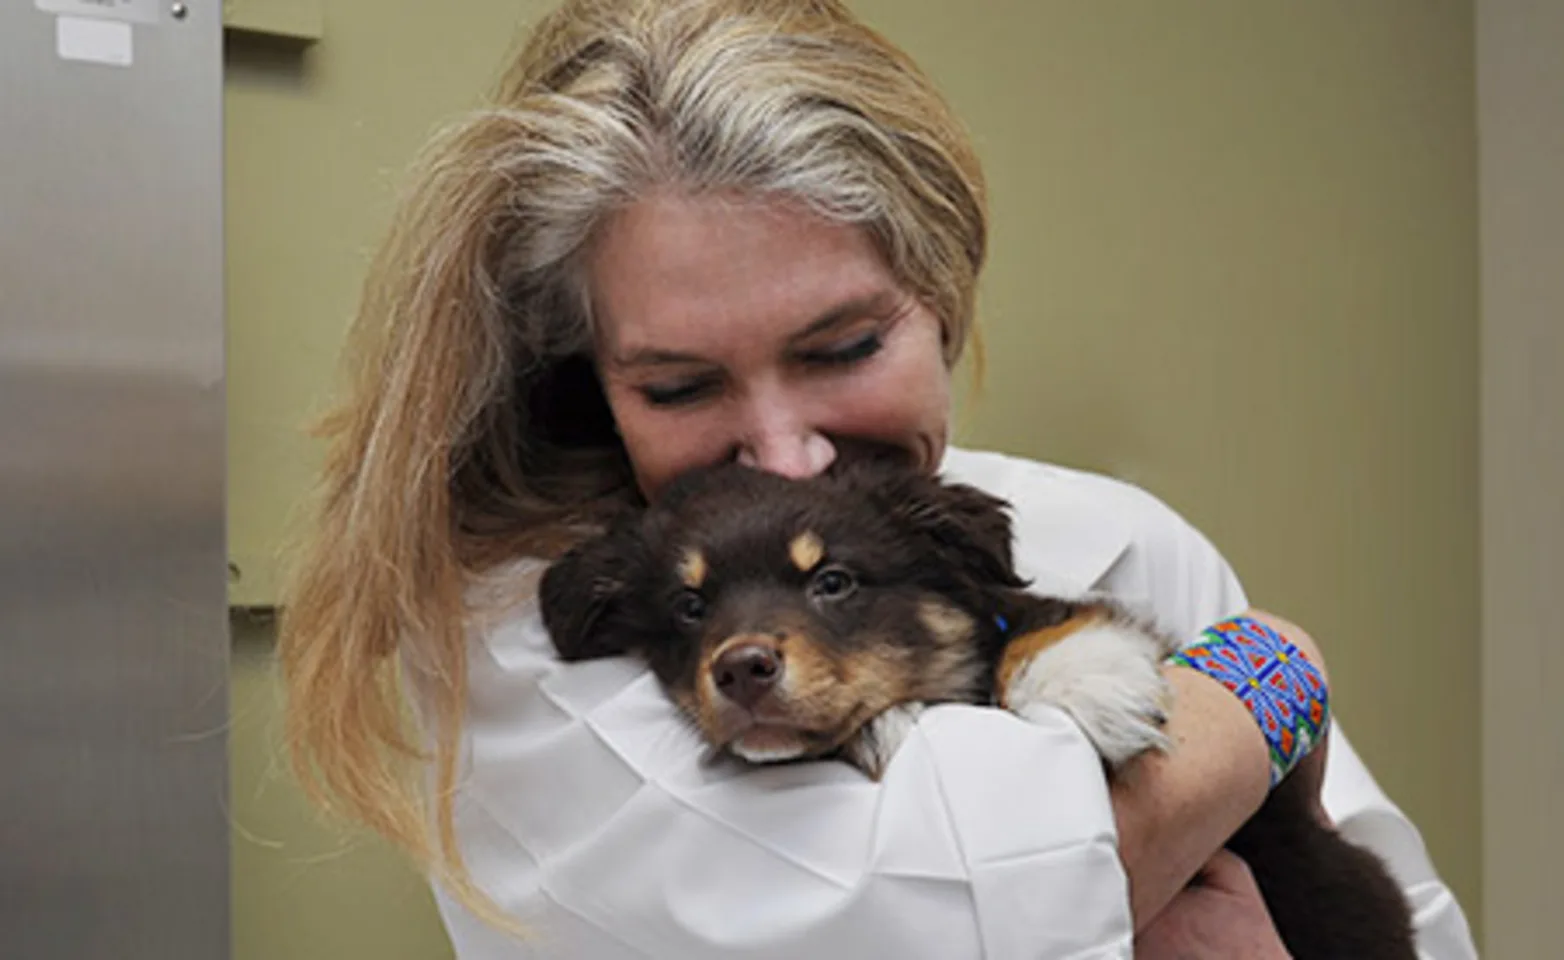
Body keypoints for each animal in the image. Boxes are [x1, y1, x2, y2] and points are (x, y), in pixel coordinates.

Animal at [544, 456, 1426, 956]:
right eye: (688, 607)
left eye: (833, 581)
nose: (742, 669)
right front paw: (888, 726)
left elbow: (1038, 626)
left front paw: (1087, 681)